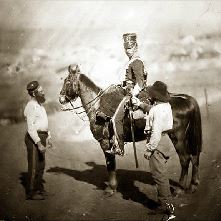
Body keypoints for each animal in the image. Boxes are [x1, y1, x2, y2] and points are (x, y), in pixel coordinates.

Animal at [58, 65, 202, 195]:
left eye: (68, 81)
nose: (61, 98)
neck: (97, 106)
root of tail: (186, 99)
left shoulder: (105, 143)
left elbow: (110, 165)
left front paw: (111, 188)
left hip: (178, 137)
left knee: (185, 159)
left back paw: (179, 189)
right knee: (194, 157)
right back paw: (193, 186)